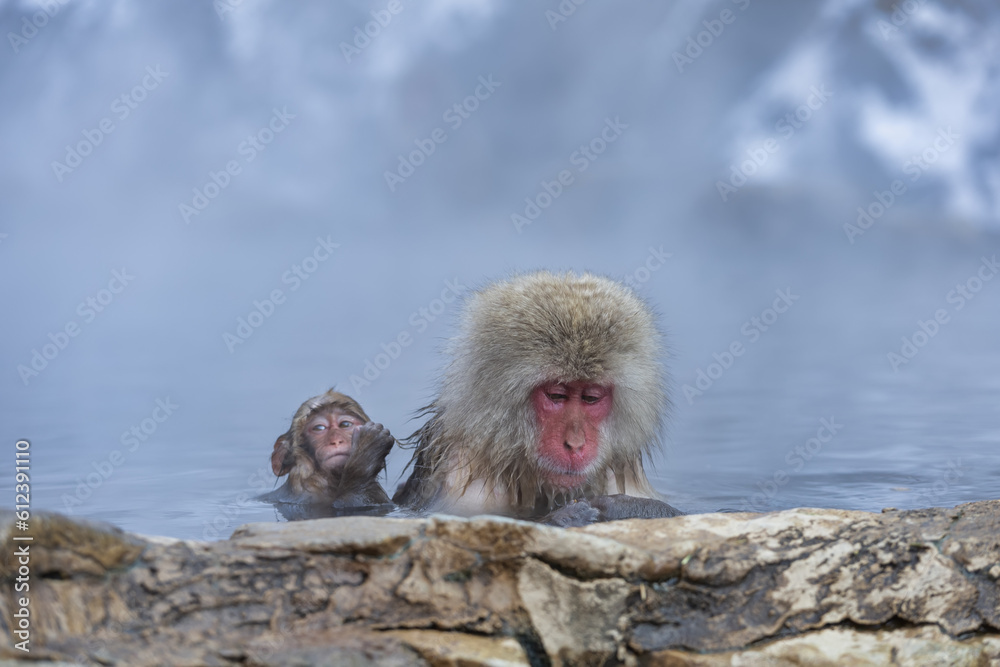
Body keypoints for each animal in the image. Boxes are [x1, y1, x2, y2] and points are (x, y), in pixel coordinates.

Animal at [393, 271, 682, 526]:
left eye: (590, 398)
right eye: (557, 395)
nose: (575, 444)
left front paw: (624, 506)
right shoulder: (467, 482)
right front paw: (576, 515)